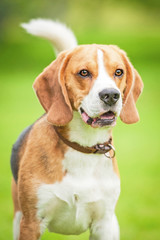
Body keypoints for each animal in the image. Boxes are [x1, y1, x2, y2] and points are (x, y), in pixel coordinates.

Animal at [10, 19, 144, 240]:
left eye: (119, 72)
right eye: (84, 72)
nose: (111, 95)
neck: (83, 147)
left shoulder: (105, 224)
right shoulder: (31, 223)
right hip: (18, 218)